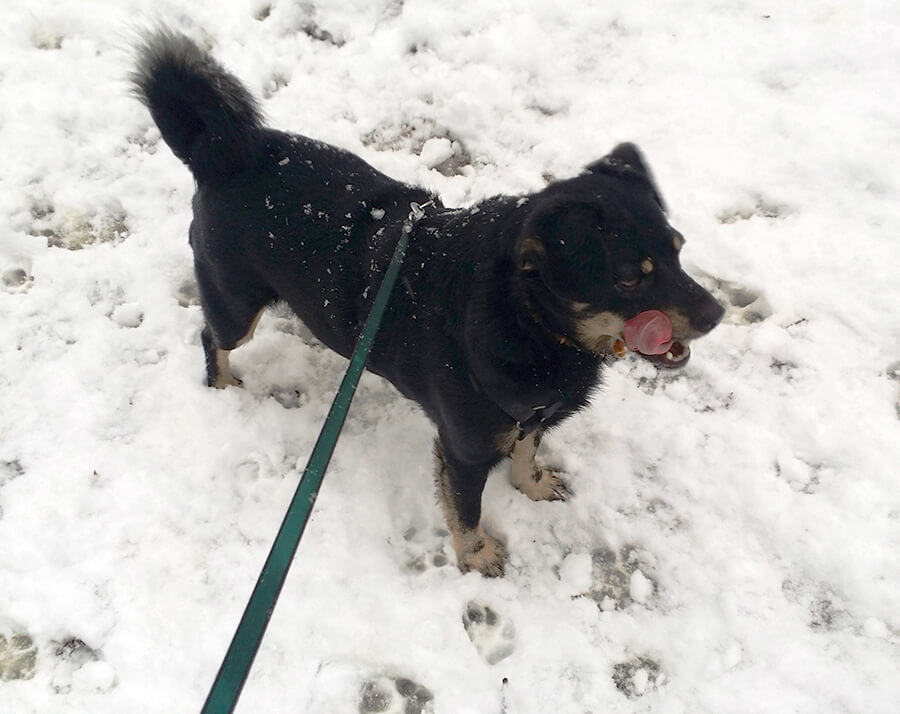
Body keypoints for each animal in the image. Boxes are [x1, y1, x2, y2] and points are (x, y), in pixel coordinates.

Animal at [132, 29, 724, 576]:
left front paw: (531, 485)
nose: (716, 315)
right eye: (627, 279)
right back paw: (222, 385)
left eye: (678, 249)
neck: (527, 318)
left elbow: (527, 451)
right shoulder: (464, 449)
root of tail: (222, 152)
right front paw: (477, 556)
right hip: (235, 301)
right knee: (212, 335)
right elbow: (465, 510)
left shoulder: (532, 416)